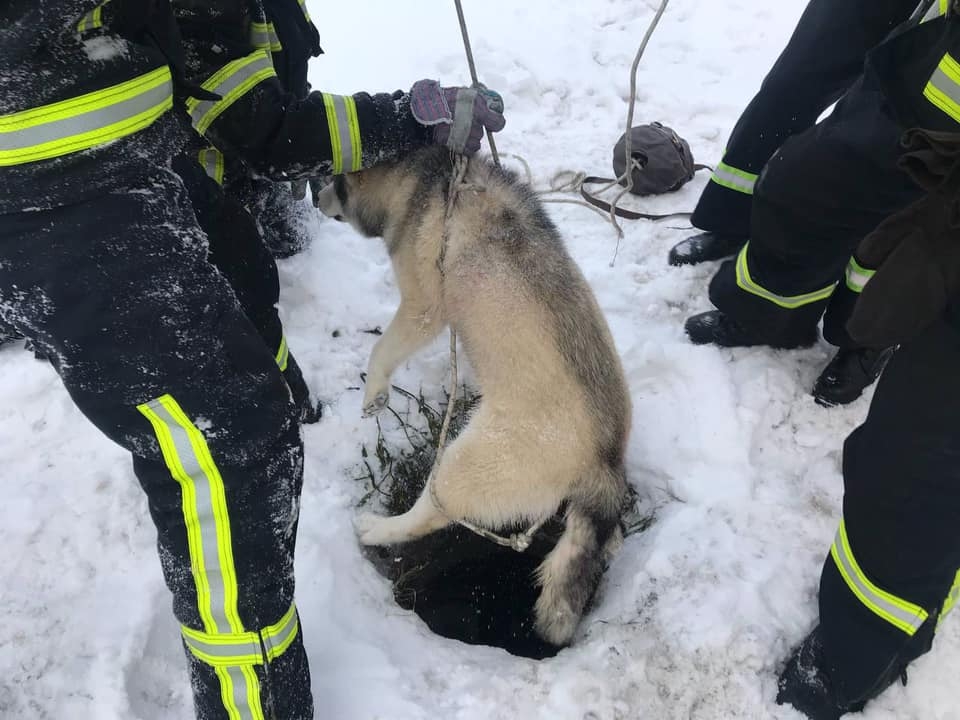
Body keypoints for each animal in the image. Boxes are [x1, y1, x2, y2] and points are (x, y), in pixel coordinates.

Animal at [318, 148, 632, 648]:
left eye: (335, 179)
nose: (314, 196)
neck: (424, 176)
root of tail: (605, 462)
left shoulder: (423, 308)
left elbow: (382, 348)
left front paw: (374, 393)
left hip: (465, 463)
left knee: (428, 514)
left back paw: (379, 529)